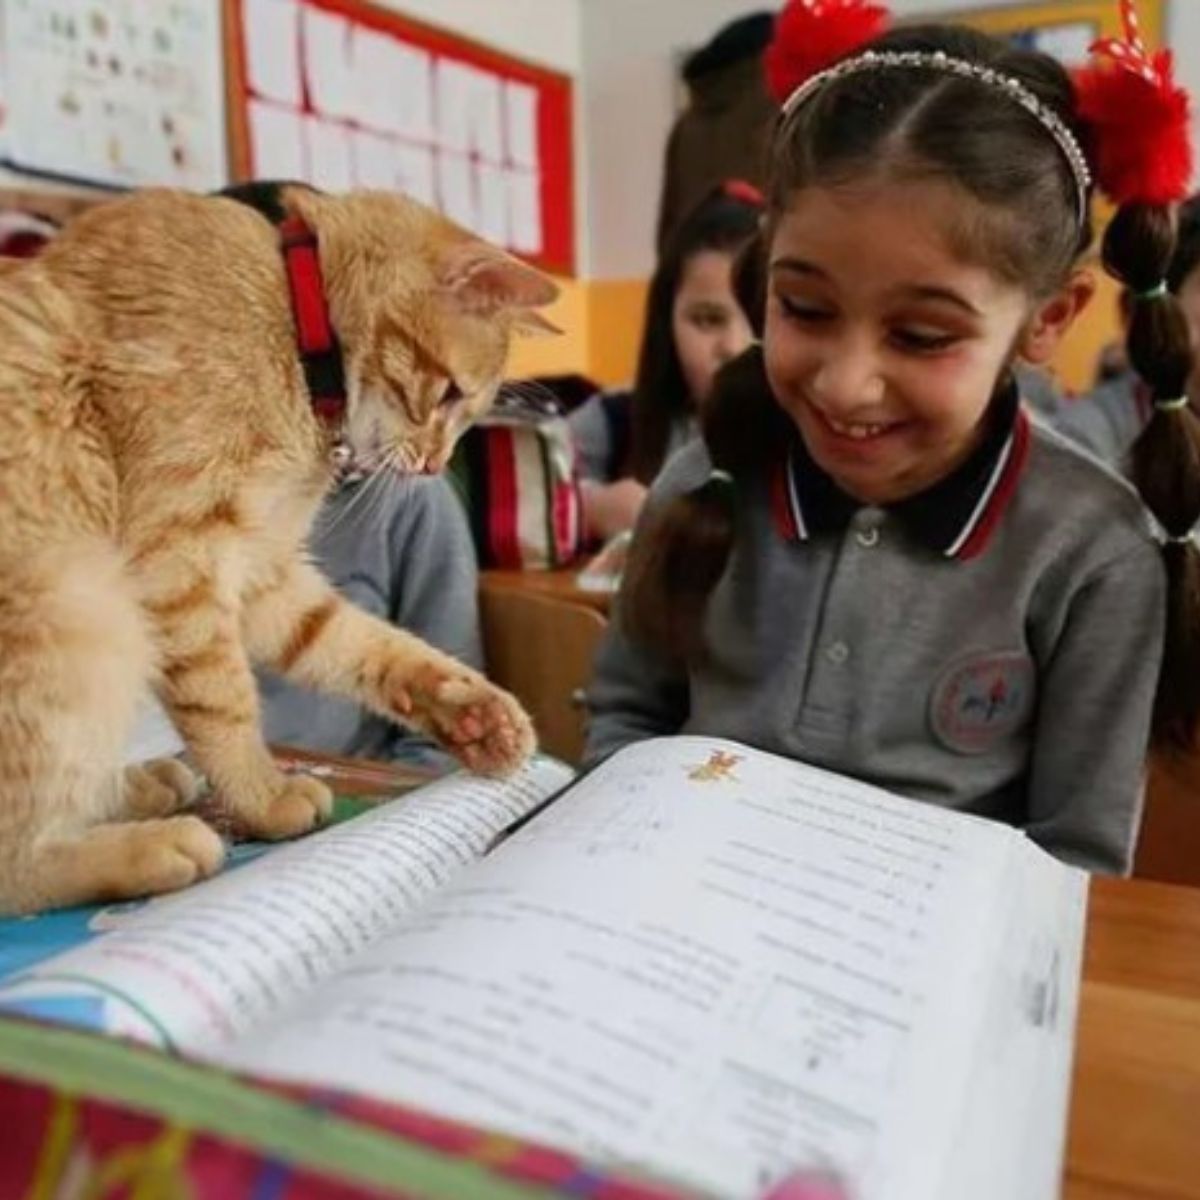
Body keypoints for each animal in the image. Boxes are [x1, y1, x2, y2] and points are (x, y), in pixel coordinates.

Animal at [0, 184, 554, 916]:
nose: (435, 466)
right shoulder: (179, 558)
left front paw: (469, 710)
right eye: (451, 395)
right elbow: (225, 702)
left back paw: (139, 786)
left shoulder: (260, 574)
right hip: (75, 603)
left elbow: (363, 644)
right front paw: (262, 796)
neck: (296, 333)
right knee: (17, 861)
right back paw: (148, 847)